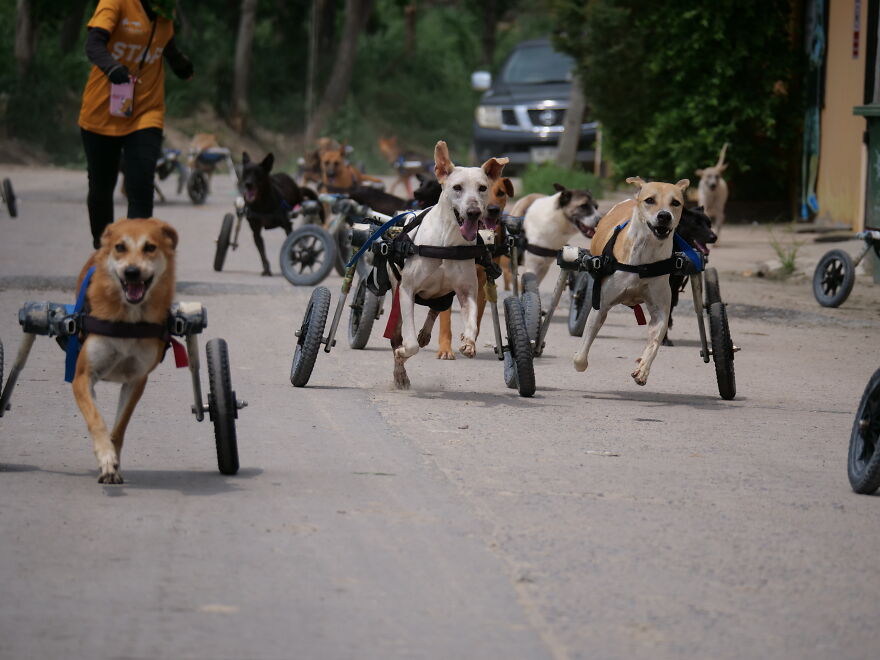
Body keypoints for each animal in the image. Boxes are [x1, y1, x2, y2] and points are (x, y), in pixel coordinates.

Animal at [72, 219, 179, 482]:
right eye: (120, 247)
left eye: (150, 247)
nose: (132, 272)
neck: (129, 319)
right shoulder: (82, 377)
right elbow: (97, 420)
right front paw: (105, 457)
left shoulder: (136, 380)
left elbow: (119, 427)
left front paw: (113, 463)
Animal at [388, 139, 506, 386]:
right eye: (457, 187)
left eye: (482, 188)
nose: (473, 212)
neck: (447, 242)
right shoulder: (407, 290)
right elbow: (409, 345)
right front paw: (402, 354)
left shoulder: (467, 289)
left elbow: (472, 317)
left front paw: (468, 341)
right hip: (396, 289)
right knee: (398, 331)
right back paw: (400, 369)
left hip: (443, 294)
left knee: (435, 309)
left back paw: (425, 334)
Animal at [434, 173, 516, 358]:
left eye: (501, 192)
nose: (492, 209)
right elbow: (445, 319)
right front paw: (445, 348)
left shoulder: (482, 281)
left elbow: (477, 315)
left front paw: (469, 342)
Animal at [576, 177, 692, 386]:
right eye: (650, 200)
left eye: (675, 202)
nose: (664, 216)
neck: (644, 258)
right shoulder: (601, 305)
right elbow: (581, 356)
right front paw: (579, 361)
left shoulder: (660, 309)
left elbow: (655, 340)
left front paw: (642, 369)